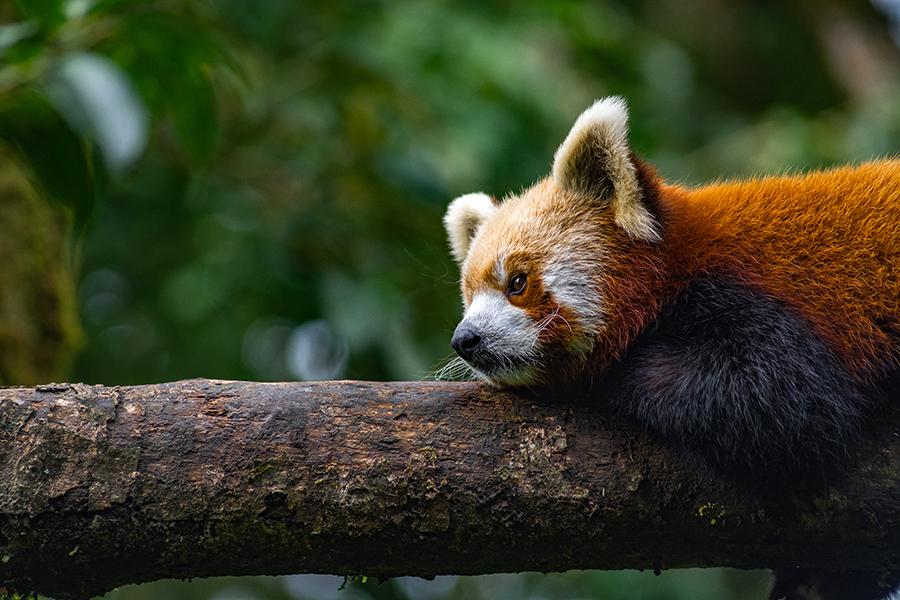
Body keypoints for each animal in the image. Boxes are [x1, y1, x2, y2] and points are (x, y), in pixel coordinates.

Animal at [443, 97, 899, 600]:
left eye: (518, 283)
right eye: (468, 297)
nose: (465, 340)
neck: (675, 268)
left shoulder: (750, 302)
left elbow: (789, 406)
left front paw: (608, 377)